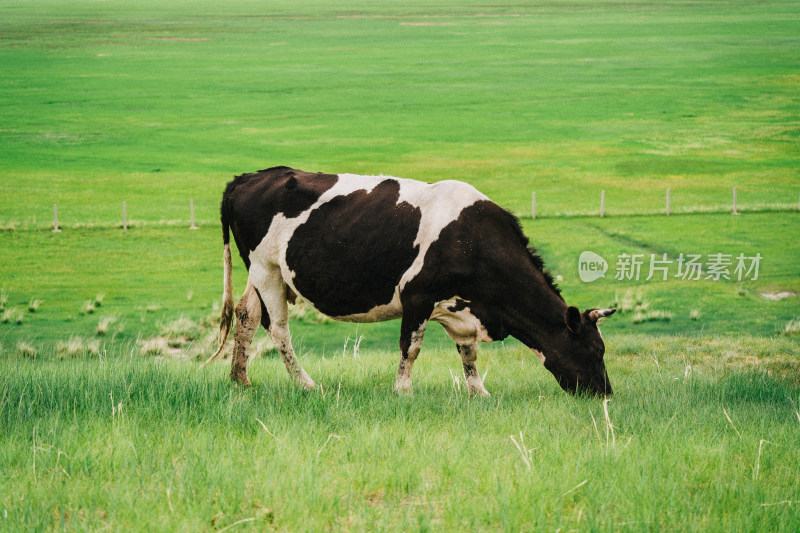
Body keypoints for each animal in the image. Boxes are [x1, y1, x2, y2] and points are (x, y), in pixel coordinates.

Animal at [203, 166, 616, 394]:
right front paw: (403, 390)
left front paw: (478, 392)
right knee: (278, 330)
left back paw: (240, 380)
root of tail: (249, 177)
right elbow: (411, 347)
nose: (606, 394)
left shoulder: (461, 308)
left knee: (247, 314)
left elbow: (468, 353)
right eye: (597, 349)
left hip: (261, 274)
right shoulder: (417, 296)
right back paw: (306, 384)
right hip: (266, 269)